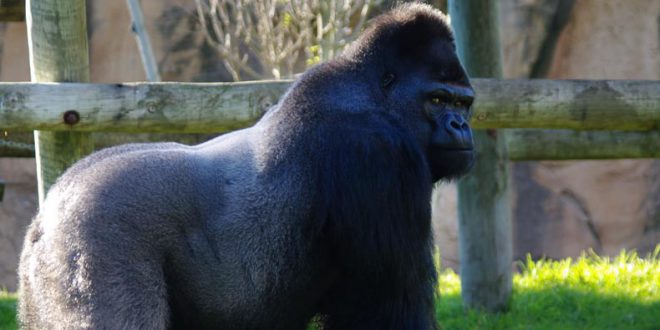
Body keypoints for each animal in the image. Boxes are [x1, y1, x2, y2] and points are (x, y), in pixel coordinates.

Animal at [19, 3, 474, 330]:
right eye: (437, 100)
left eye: (463, 102)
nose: (461, 125)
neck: (373, 95)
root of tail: (47, 215)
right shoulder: (378, 155)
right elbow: (390, 308)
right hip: (95, 238)